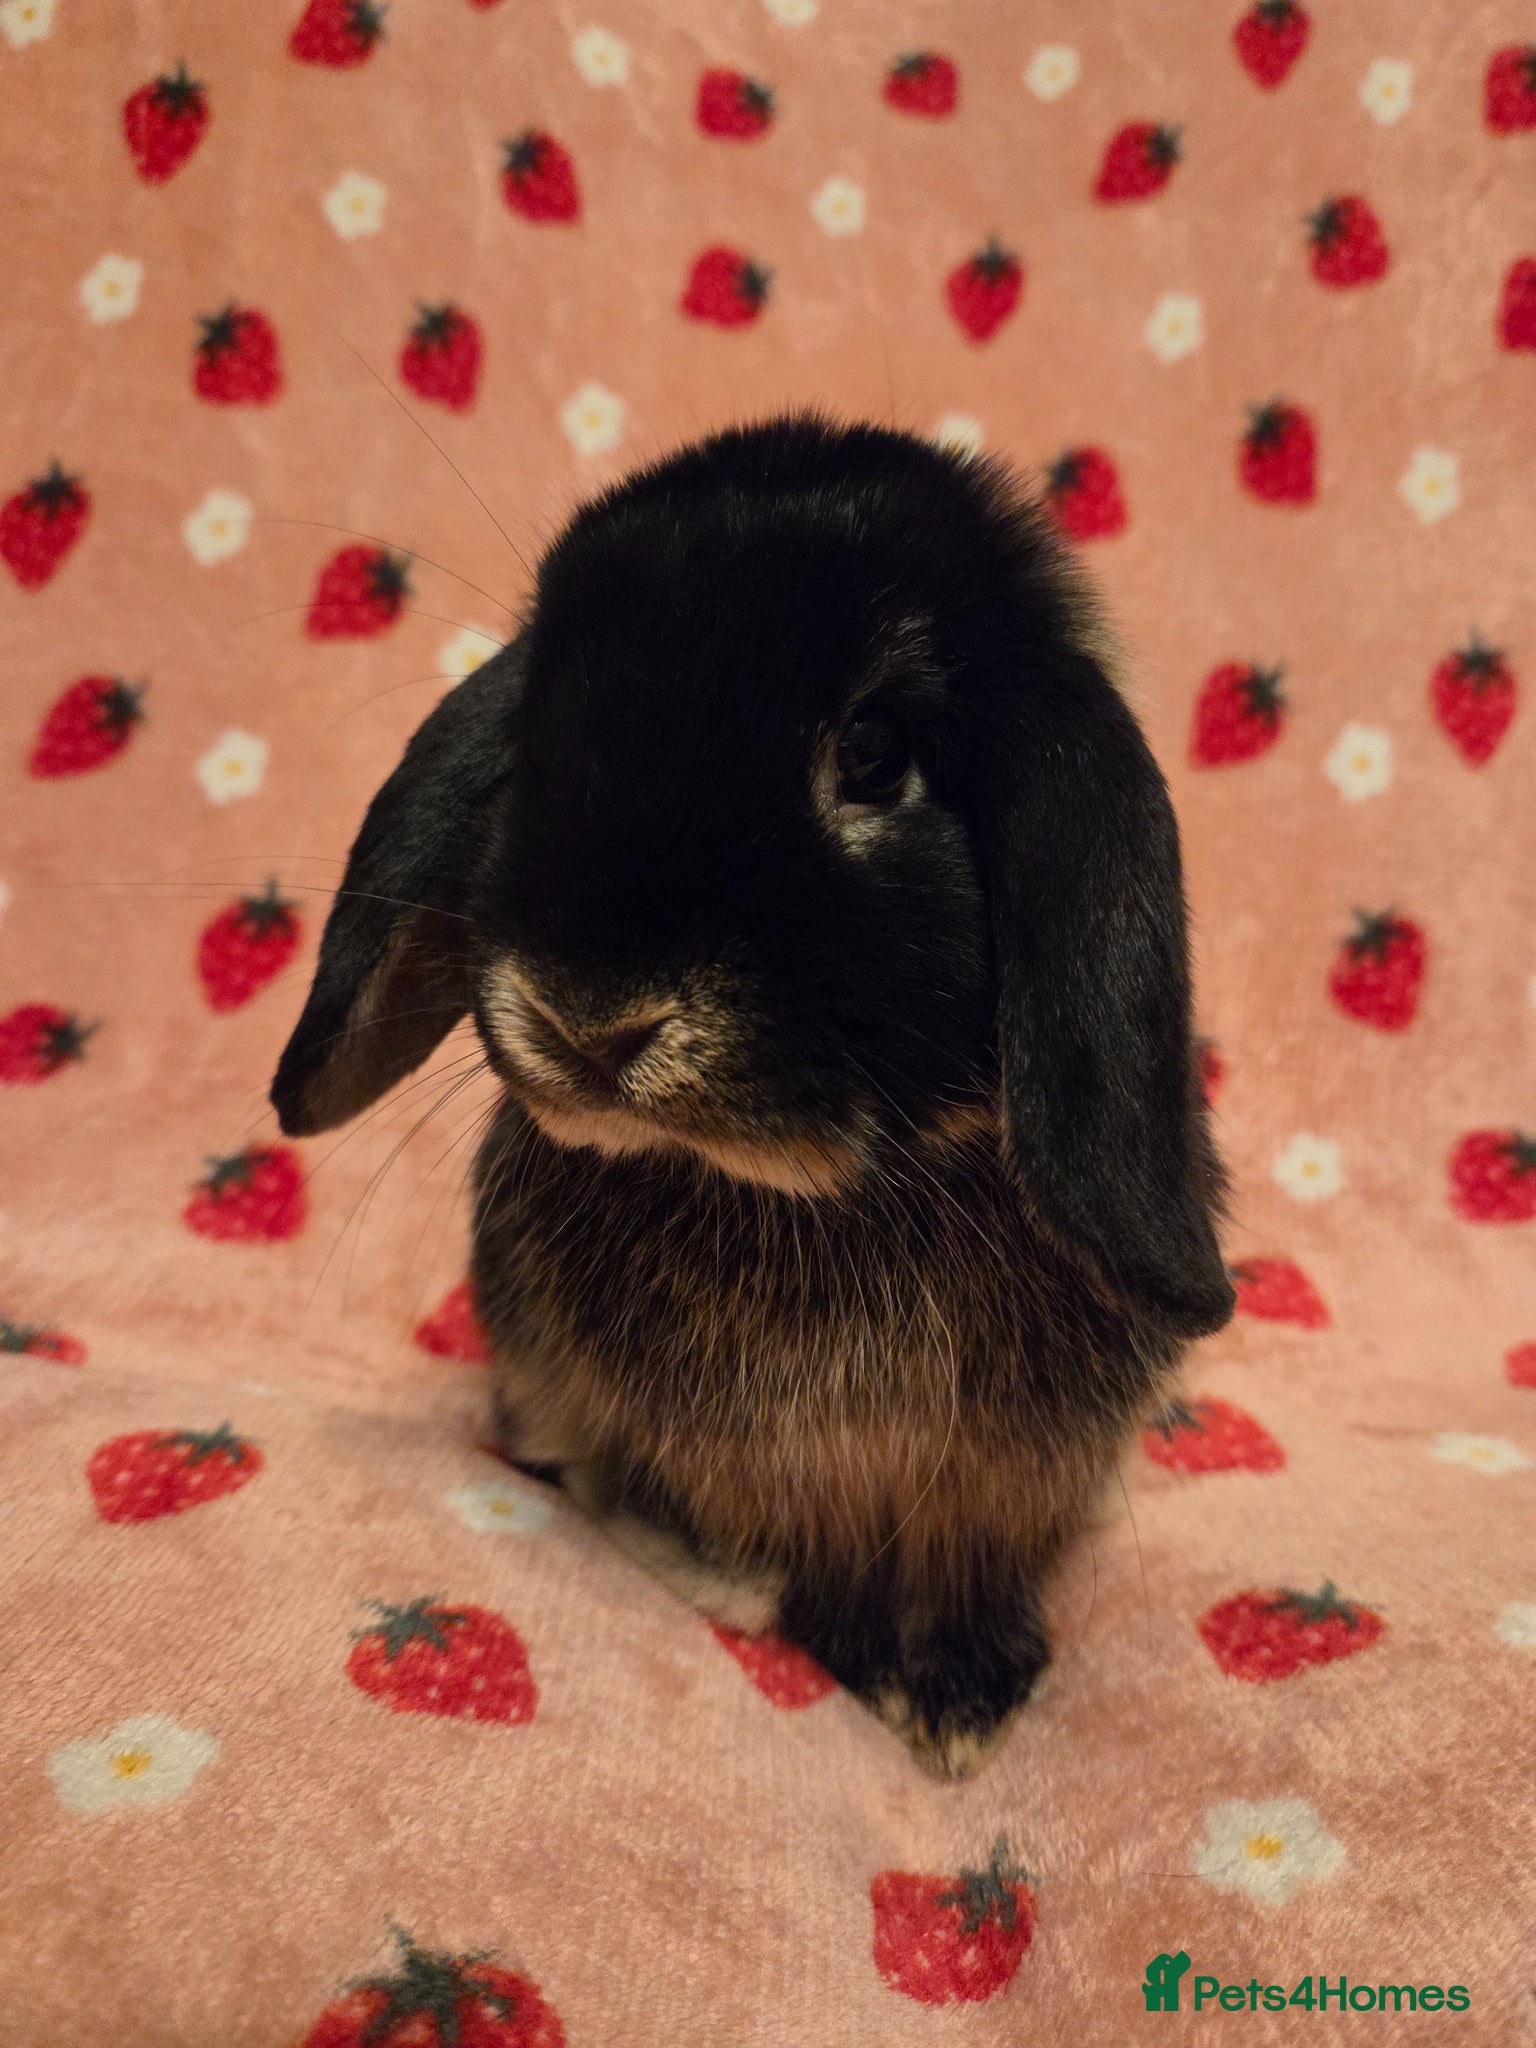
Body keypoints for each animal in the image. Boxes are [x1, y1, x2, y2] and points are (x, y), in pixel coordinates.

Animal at [272, 414, 1233, 1780]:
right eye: (537, 739)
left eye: (875, 751)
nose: (589, 1016)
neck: (822, 1196)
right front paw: (776, 1607)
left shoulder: (998, 1488)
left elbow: (969, 1572)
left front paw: (959, 1702)